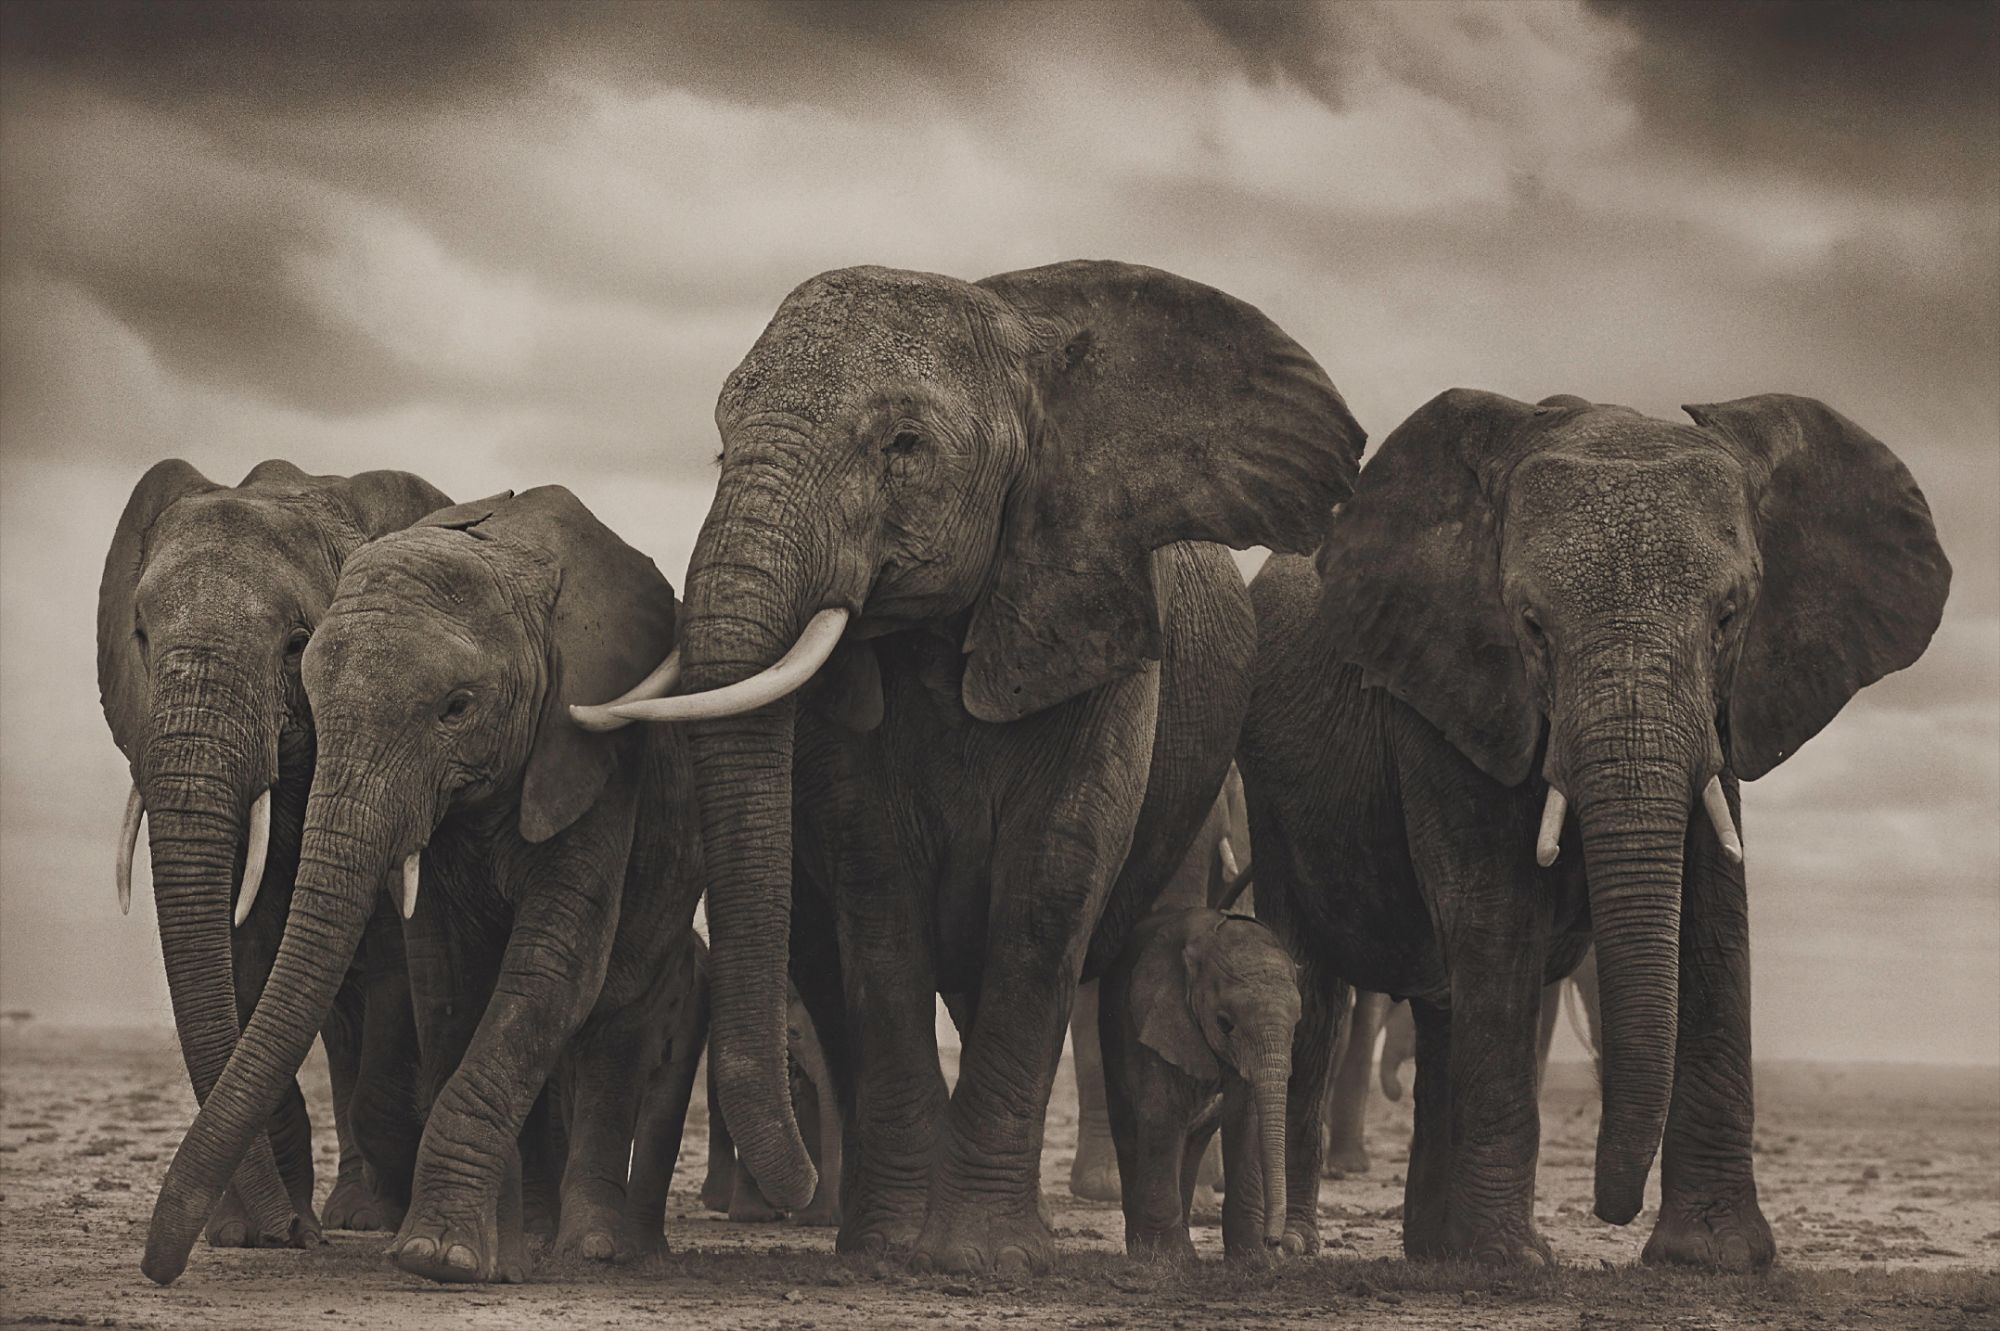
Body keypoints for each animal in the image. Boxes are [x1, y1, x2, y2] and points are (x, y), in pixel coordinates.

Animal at [98, 459, 447, 1248]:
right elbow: (241, 956)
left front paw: (364, 1221)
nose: (293, 1234)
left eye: (297, 645)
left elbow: (393, 961)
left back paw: (362, 1216)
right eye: (141, 634)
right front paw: (251, 1234)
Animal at [140, 485, 707, 1286]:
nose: (157, 1270)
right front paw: (476, 1255)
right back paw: (536, 1242)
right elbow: (444, 977)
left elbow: (553, 966)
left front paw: (440, 1257)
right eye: (309, 694)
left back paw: (592, 1250)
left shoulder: (595, 761)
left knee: (615, 1016)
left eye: (457, 707)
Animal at [1100, 906, 1300, 1262]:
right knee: (1130, 1129)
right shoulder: (1154, 1019)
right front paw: (1167, 1260)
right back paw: (1148, 1252)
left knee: (1194, 1140)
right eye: (1224, 1024)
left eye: (1296, 1025)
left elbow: (1245, 1121)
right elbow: (1162, 1115)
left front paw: (1255, 1260)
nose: (1276, 1242)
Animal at [1238, 390, 1949, 1269]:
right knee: (1315, 991)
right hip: (1269, 797)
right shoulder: (1448, 690)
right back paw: (1294, 1246)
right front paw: (1510, 1263)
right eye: (1532, 625)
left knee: (1440, 1007)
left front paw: (1713, 1257)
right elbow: (1496, 912)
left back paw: (1435, 1251)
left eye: (1729, 617)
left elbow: (1714, 915)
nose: (1614, 1210)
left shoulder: (1724, 711)